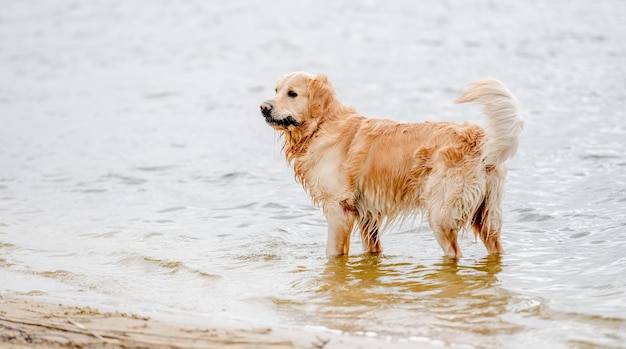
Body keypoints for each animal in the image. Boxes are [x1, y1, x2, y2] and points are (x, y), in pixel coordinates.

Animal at [260, 72, 520, 256]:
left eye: (292, 93)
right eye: (276, 90)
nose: (264, 107)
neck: (321, 126)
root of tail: (480, 140)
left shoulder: (338, 210)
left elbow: (332, 253)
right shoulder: (367, 216)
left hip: (441, 214)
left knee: (454, 253)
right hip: (486, 216)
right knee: (496, 248)